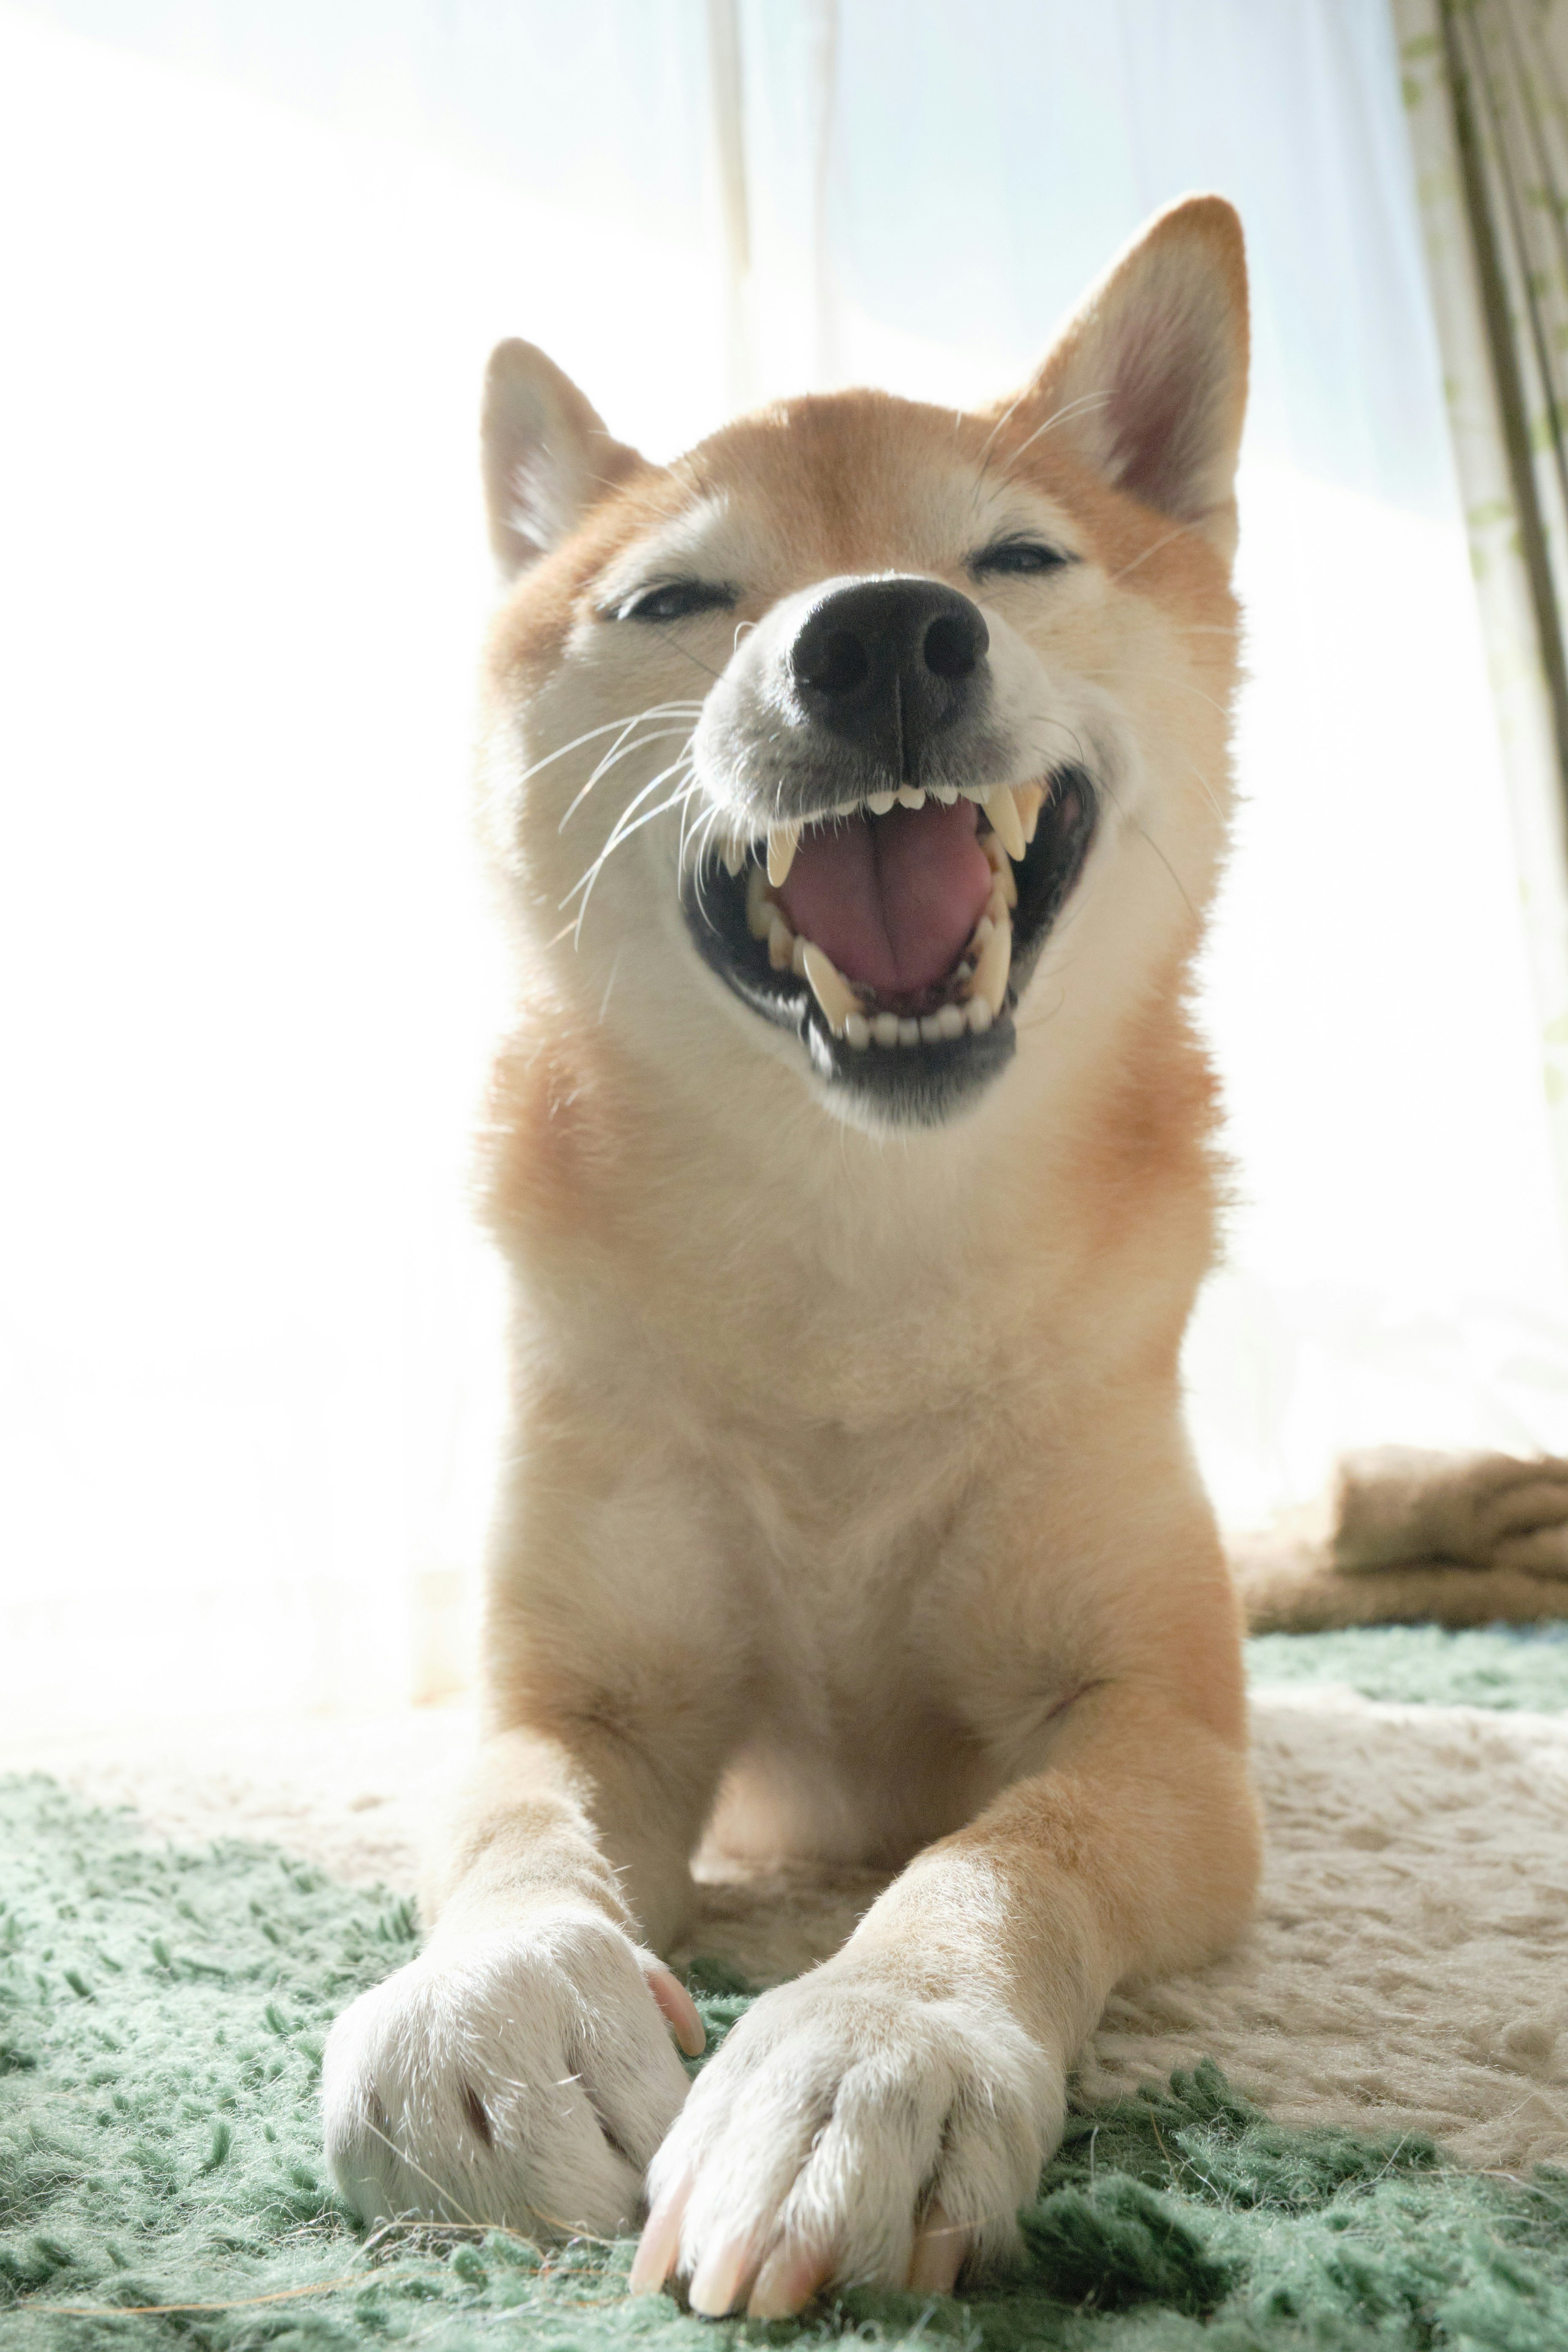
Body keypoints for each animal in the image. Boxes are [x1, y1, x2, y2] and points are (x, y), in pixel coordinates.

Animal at [319, 197, 1278, 2314]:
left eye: (1016, 560)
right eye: (674, 598)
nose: (880, 633)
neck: (857, 1251)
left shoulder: (1161, 1734)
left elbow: (1007, 1856)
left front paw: (870, 2051)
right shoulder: (571, 1694)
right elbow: (511, 1816)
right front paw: (497, 2005)